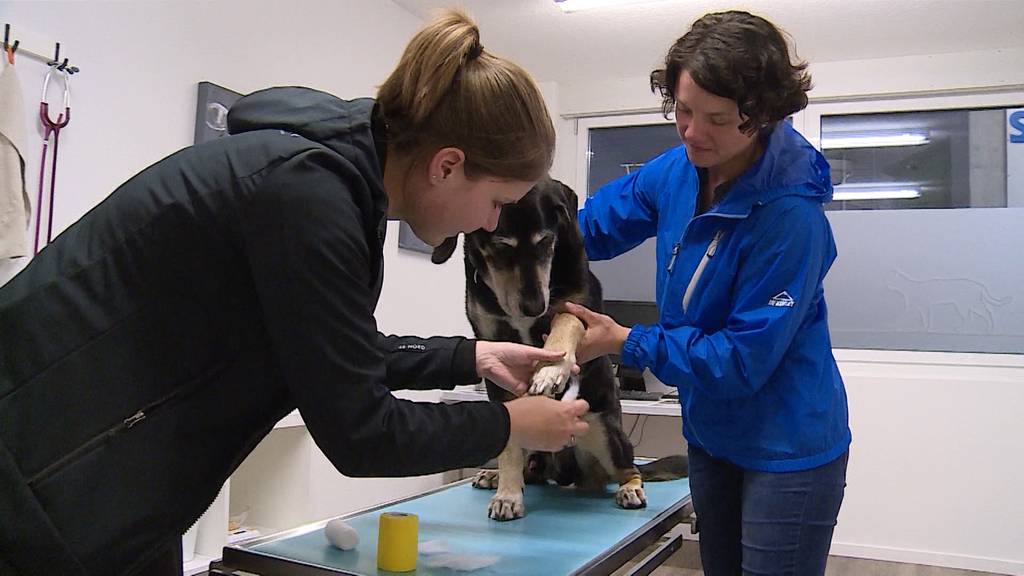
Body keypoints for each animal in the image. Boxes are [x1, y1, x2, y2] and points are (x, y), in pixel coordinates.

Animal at [432, 177, 688, 518]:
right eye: (501, 247)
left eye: (546, 242)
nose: (534, 307)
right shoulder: (494, 343)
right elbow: (509, 445)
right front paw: (508, 493)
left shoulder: (580, 305)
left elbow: (565, 319)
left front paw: (551, 369)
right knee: (527, 465)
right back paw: (496, 475)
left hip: (604, 432)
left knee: (629, 469)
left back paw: (630, 488)